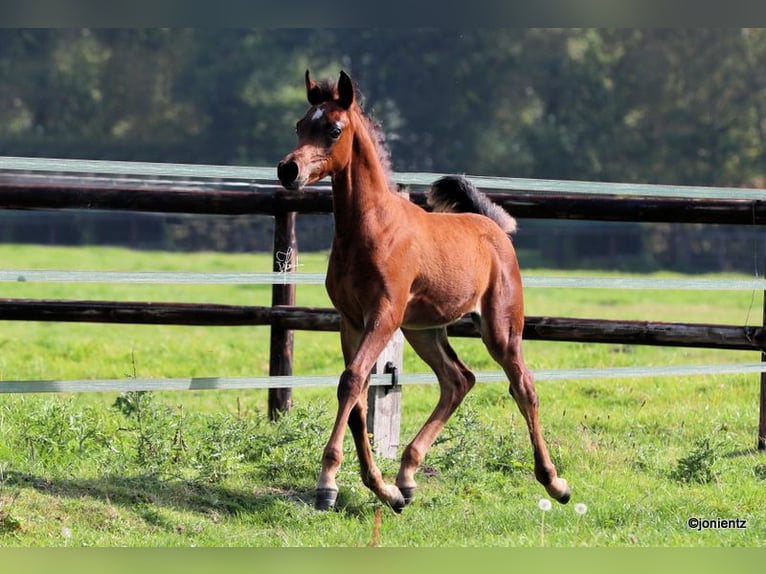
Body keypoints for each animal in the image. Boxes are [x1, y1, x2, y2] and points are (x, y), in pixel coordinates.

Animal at [278, 70, 568, 516]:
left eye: (334, 129)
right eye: (299, 126)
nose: (288, 169)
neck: (370, 228)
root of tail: (495, 228)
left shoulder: (383, 316)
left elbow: (352, 381)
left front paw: (328, 482)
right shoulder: (350, 320)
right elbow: (357, 396)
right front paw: (382, 488)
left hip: (500, 328)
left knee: (524, 388)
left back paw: (555, 482)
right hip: (424, 330)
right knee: (458, 380)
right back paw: (407, 476)